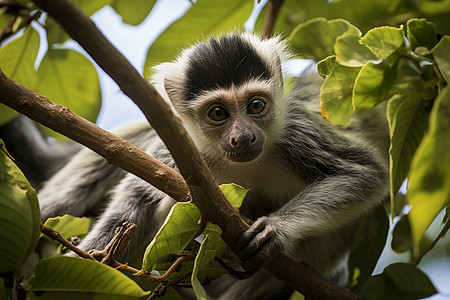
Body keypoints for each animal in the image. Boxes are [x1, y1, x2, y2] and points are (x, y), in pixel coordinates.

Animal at [0, 31, 388, 298]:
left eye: (256, 106)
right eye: (218, 113)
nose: (243, 137)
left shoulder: (296, 131)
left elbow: (364, 172)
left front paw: (275, 230)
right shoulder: (176, 150)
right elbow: (138, 203)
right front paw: (85, 263)